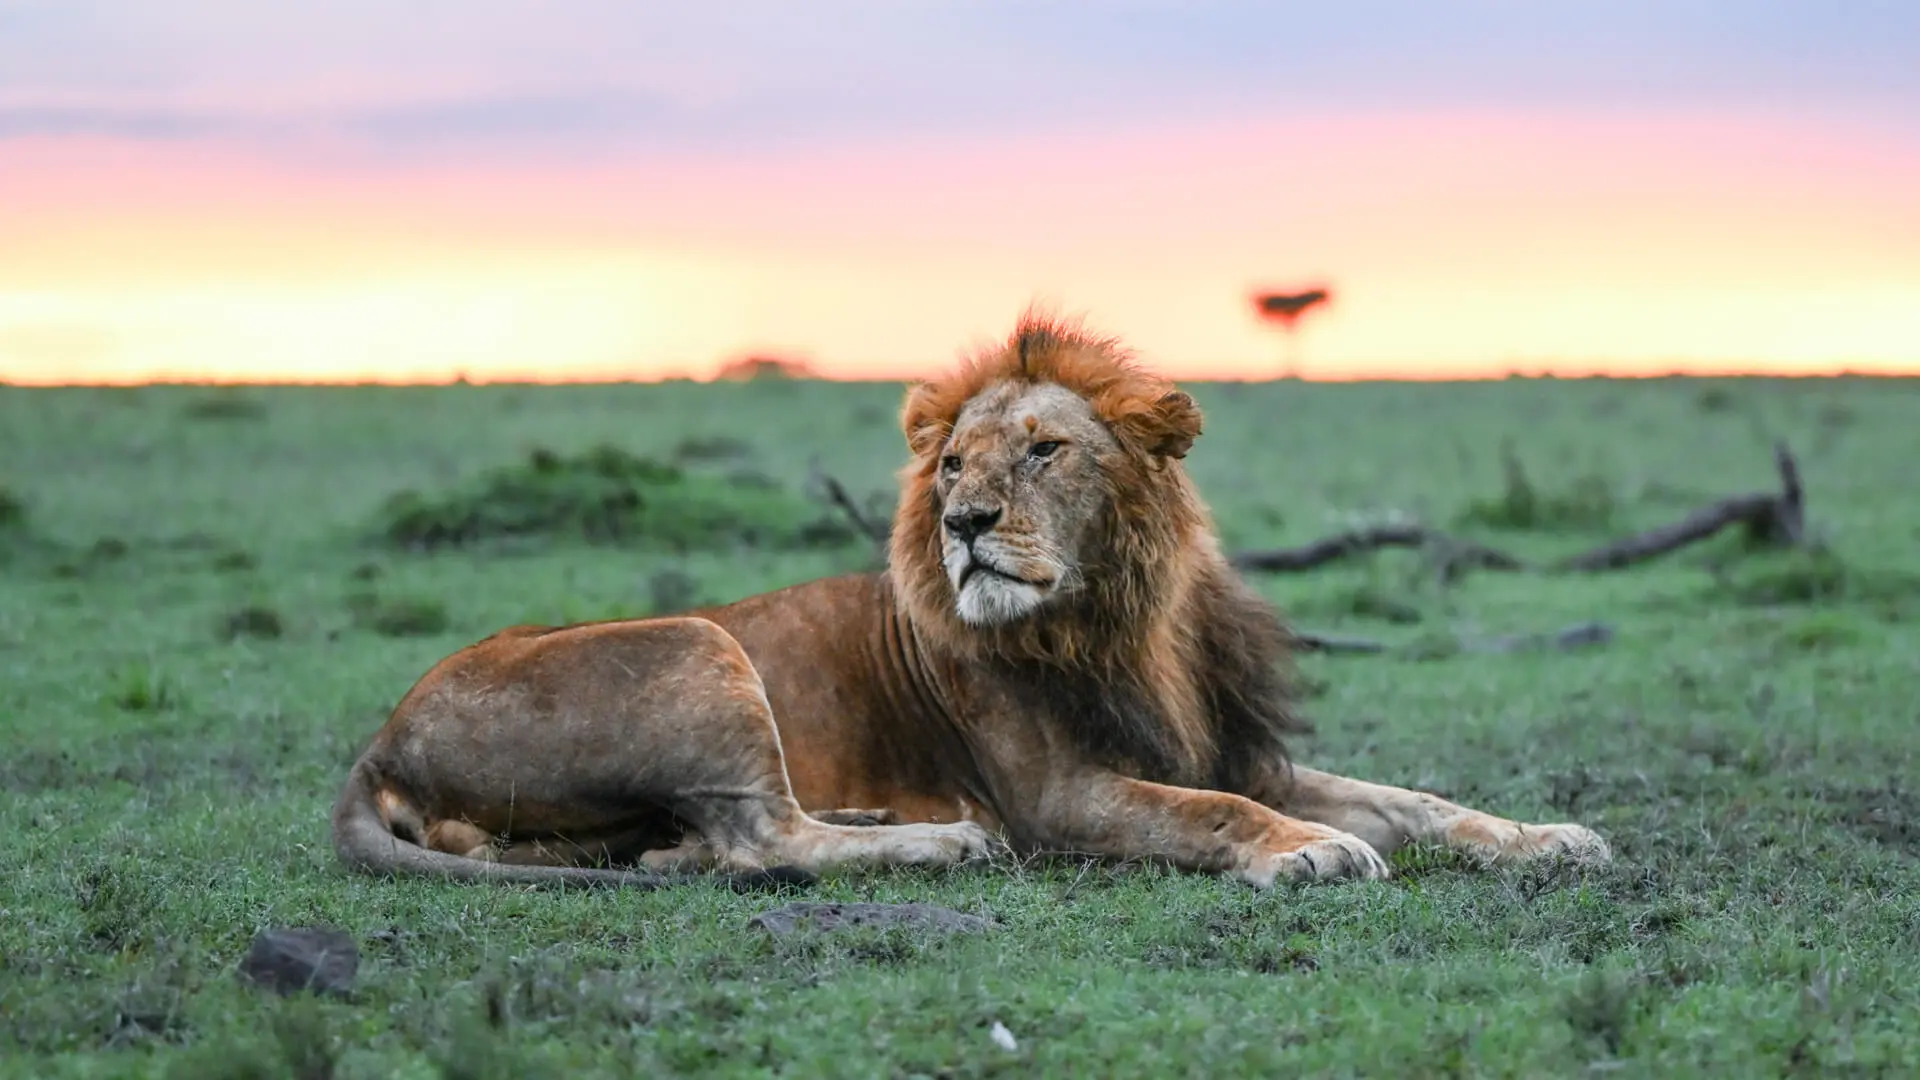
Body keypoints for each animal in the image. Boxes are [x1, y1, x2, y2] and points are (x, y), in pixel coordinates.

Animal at [331, 312, 1610, 890]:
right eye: (951, 467)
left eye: (1044, 450)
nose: (966, 524)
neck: (1122, 623)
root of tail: (378, 739)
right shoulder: (1057, 796)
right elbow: (1212, 816)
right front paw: (1307, 854)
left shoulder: (1241, 749)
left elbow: (1421, 801)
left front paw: (1550, 836)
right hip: (695, 643)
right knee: (758, 839)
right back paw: (941, 837)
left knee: (713, 842)